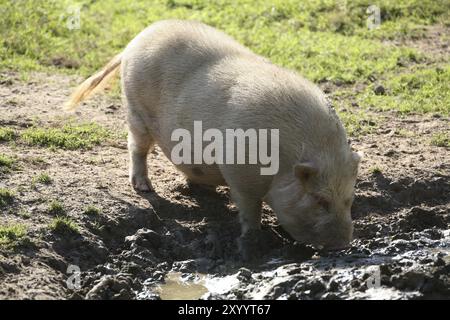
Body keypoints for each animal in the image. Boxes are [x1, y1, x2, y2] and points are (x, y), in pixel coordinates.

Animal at [66, 19, 362, 252]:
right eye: (320, 200)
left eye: (349, 199)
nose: (342, 245)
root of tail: (136, 40)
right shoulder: (239, 173)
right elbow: (249, 209)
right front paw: (253, 239)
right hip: (135, 108)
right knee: (136, 147)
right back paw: (144, 187)